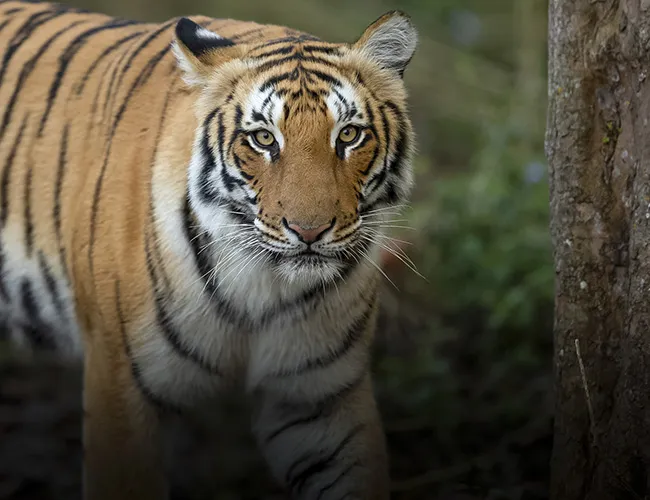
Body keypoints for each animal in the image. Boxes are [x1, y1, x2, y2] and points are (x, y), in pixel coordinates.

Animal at [0, 0, 416, 498]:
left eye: (349, 135)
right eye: (263, 139)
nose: (309, 231)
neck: (264, 286)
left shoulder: (318, 398)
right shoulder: (119, 385)